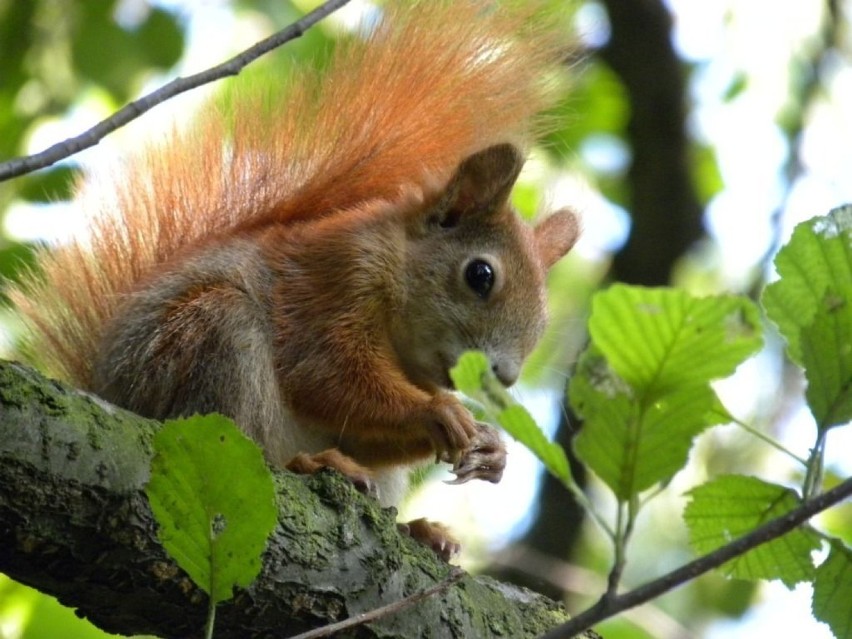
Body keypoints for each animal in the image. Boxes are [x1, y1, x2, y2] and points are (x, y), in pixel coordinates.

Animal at [8, 1, 580, 560]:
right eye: (480, 275)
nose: (504, 376)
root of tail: (112, 392)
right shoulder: (329, 281)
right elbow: (324, 375)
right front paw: (441, 411)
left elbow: (363, 429)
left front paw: (491, 449)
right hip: (206, 344)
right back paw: (312, 465)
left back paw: (418, 530)